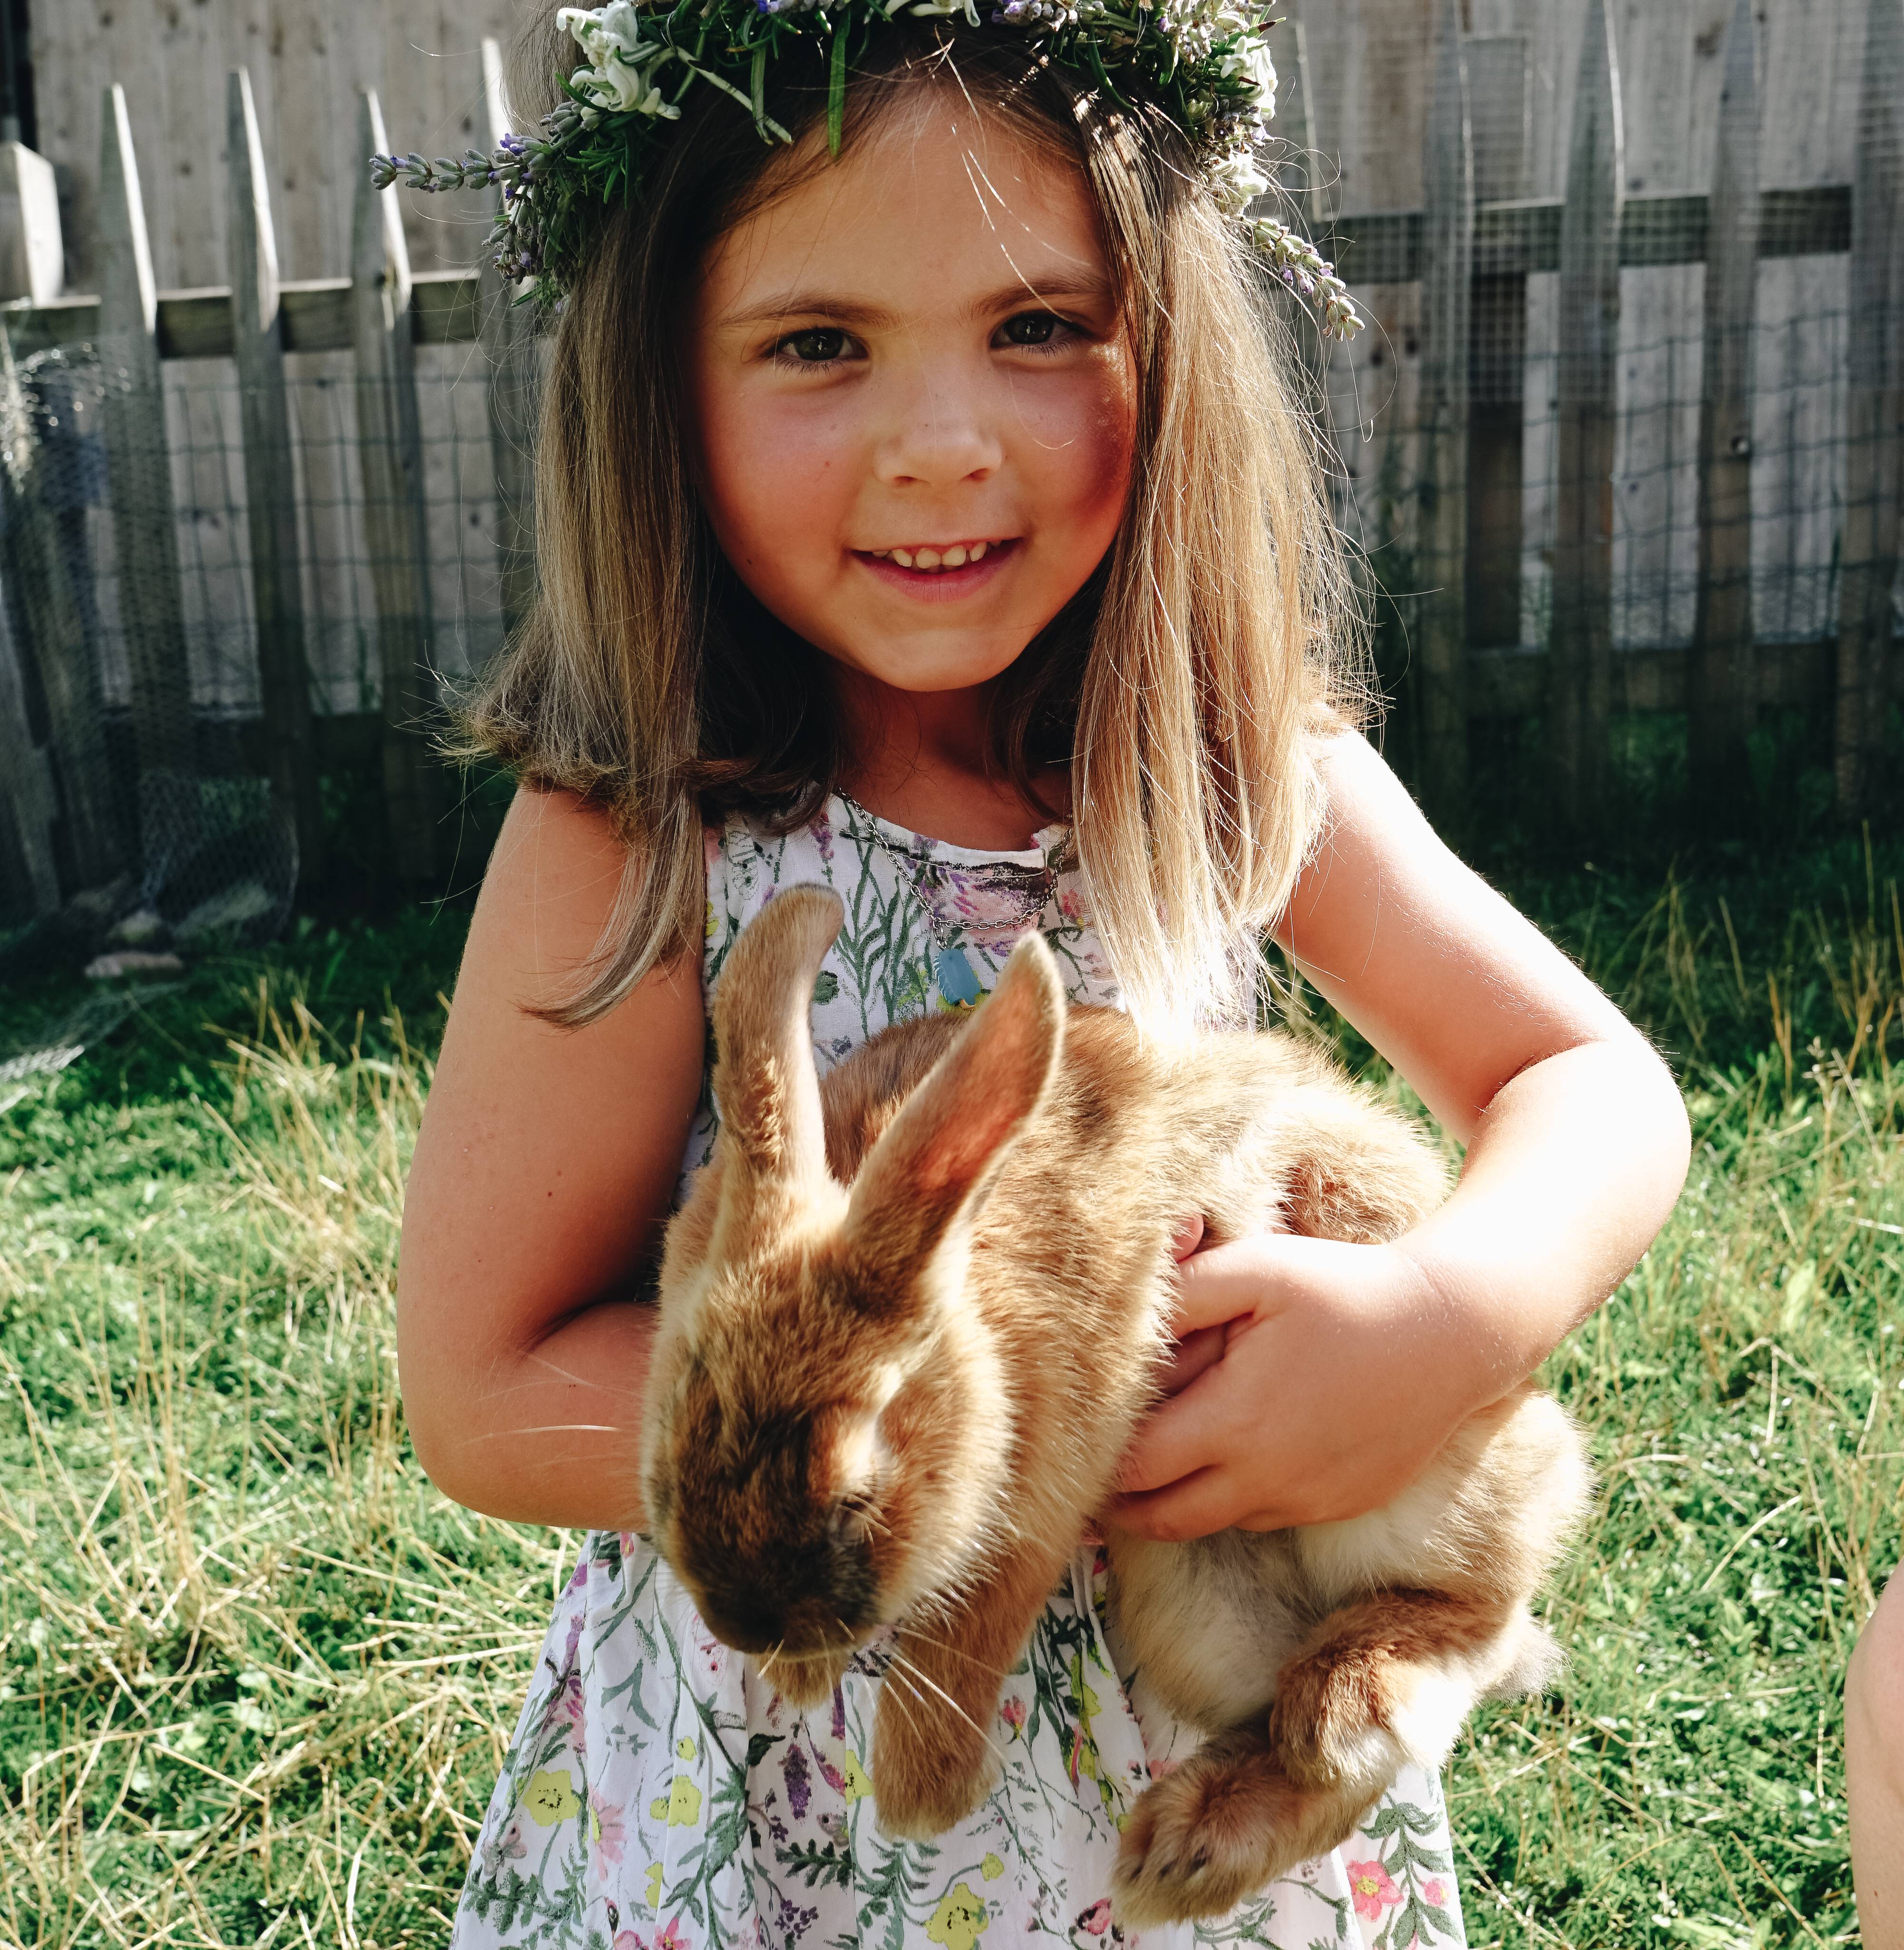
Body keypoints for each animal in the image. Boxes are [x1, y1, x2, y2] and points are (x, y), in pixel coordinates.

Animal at [639, 893, 1590, 1926]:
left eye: (855, 1492)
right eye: (668, 1461)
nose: (747, 1629)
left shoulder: (1044, 1493)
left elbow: (967, 1639)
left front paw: (921, 1793)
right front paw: (802, 1677)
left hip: (1425, 1476)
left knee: (1468, 1629)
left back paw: (1328, 1720)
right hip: (1202, 1615)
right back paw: (1190, 1846)